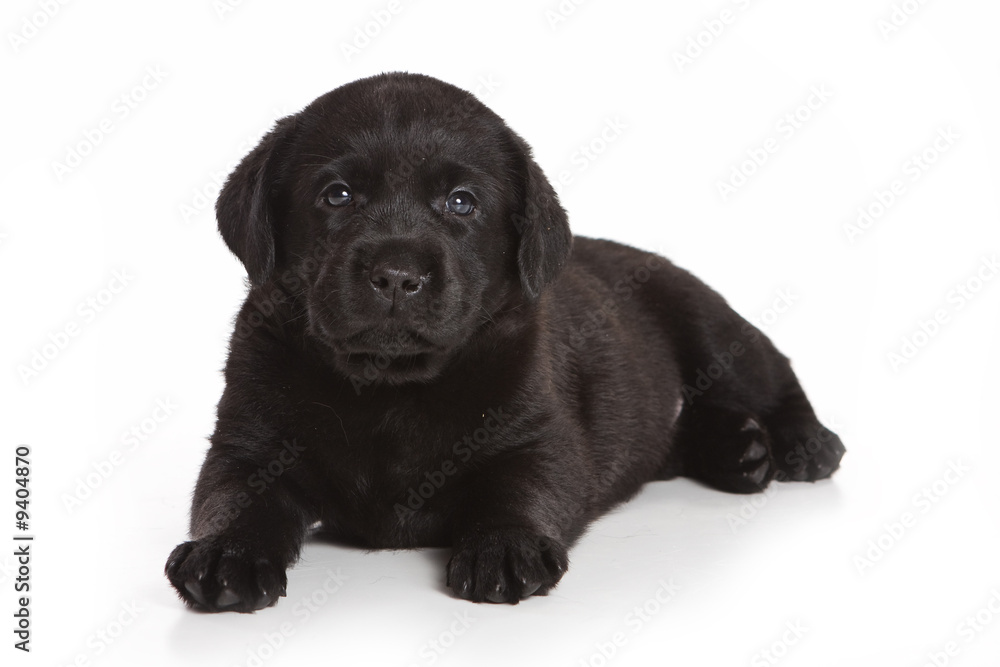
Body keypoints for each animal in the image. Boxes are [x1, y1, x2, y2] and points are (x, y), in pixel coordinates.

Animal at [164, 72, 844, 612]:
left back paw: (800, 443)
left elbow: (519, 487)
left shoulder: (538, 435)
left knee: (772, 373)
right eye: (338, 195)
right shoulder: (248, 444)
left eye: (461, 202)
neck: (388, 384)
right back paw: (737, 450)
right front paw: (224, 554)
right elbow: (233, 497)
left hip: (709, 323)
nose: (397, 274)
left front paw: (505, 547)